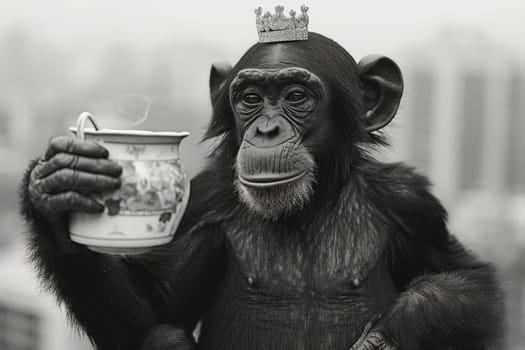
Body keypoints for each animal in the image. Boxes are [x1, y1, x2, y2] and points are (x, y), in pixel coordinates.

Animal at [21, 31, 504, 348]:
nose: (266, 130)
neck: (308, 206)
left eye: (295, 96)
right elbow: (154, 313)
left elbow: (468, 277)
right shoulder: (204, 202)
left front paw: (394, 332)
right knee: (164, 337)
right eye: (250, 98)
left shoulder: (409, 202)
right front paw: (58, 189)